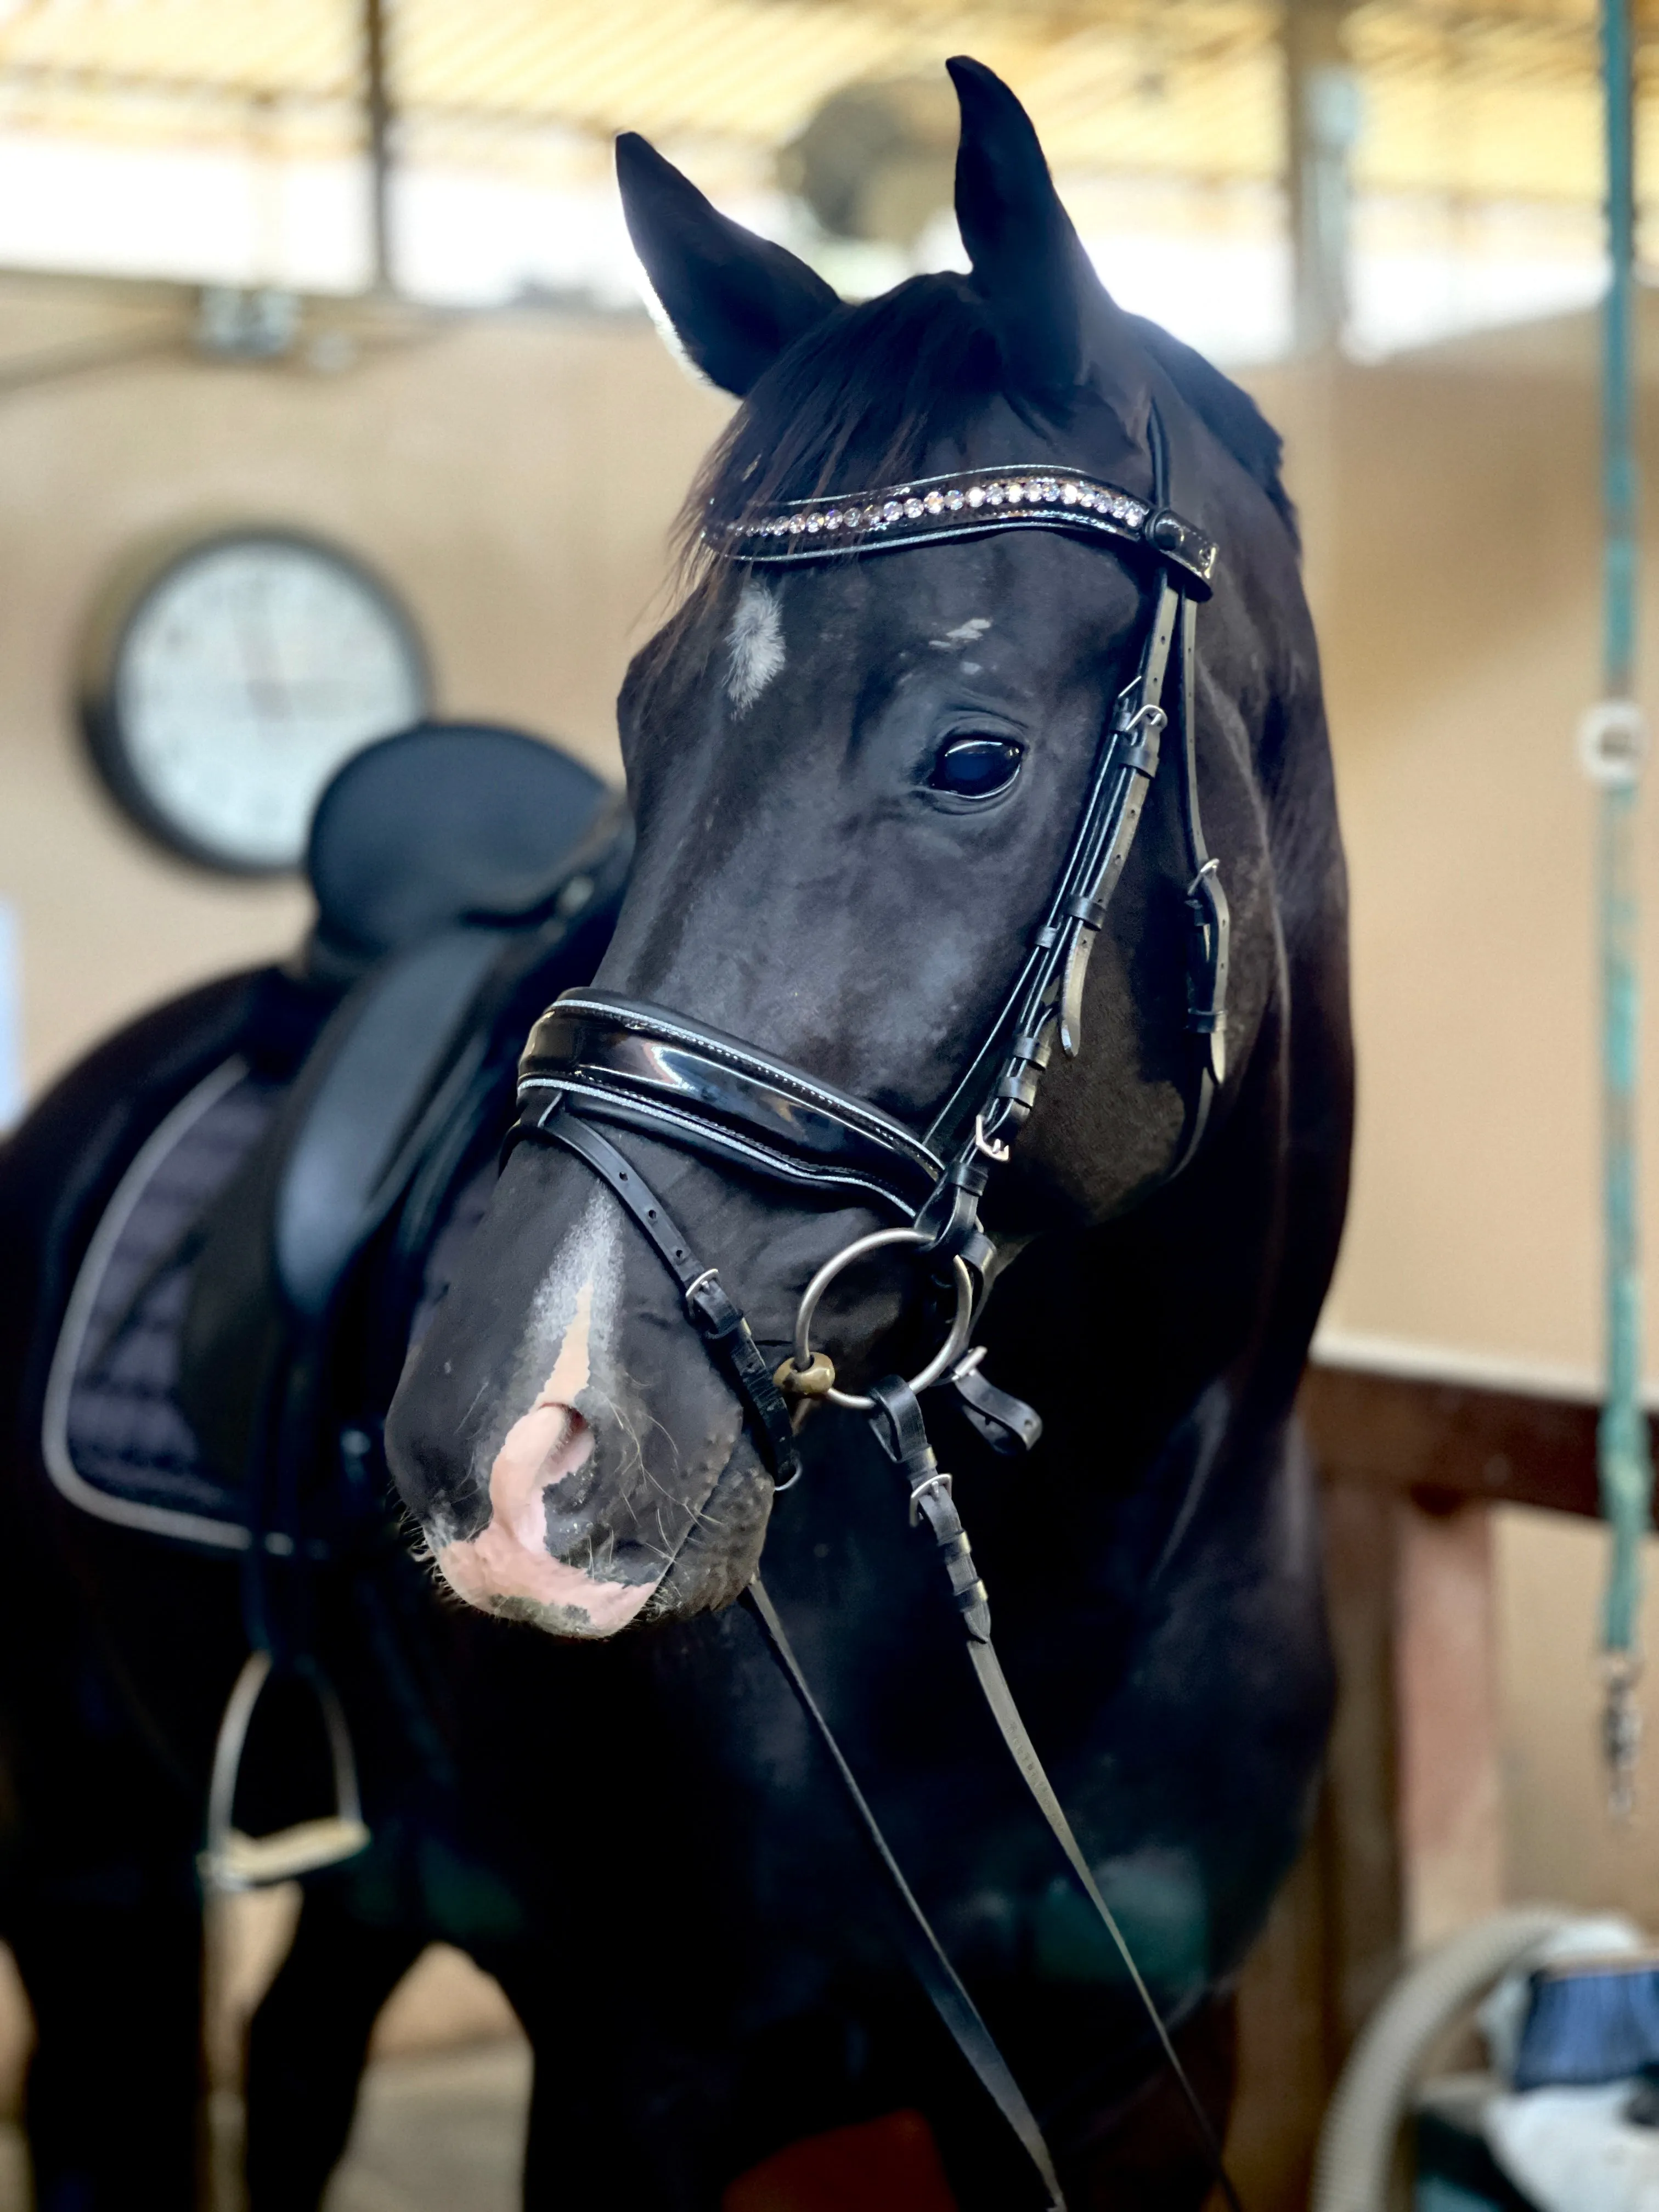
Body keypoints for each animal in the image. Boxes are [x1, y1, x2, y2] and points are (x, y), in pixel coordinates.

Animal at [0, 60, 1353, 2212]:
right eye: (642, 727)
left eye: (972, 754)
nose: (499, 1441)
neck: (1098, 1550)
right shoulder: (640, 2066)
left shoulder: (1125, 2075)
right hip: (90, 1847)